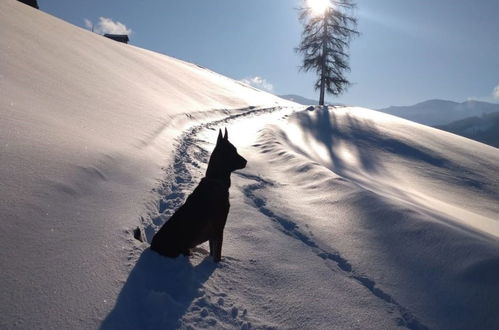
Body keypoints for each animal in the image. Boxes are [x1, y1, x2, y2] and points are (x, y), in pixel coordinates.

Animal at [150, 128, 248, 262]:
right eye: (232, 151)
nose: (246, 161)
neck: (216, 180)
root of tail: (152, 246)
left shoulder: (213, 233)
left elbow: (212, 252)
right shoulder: (218, 228)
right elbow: (217, 256)